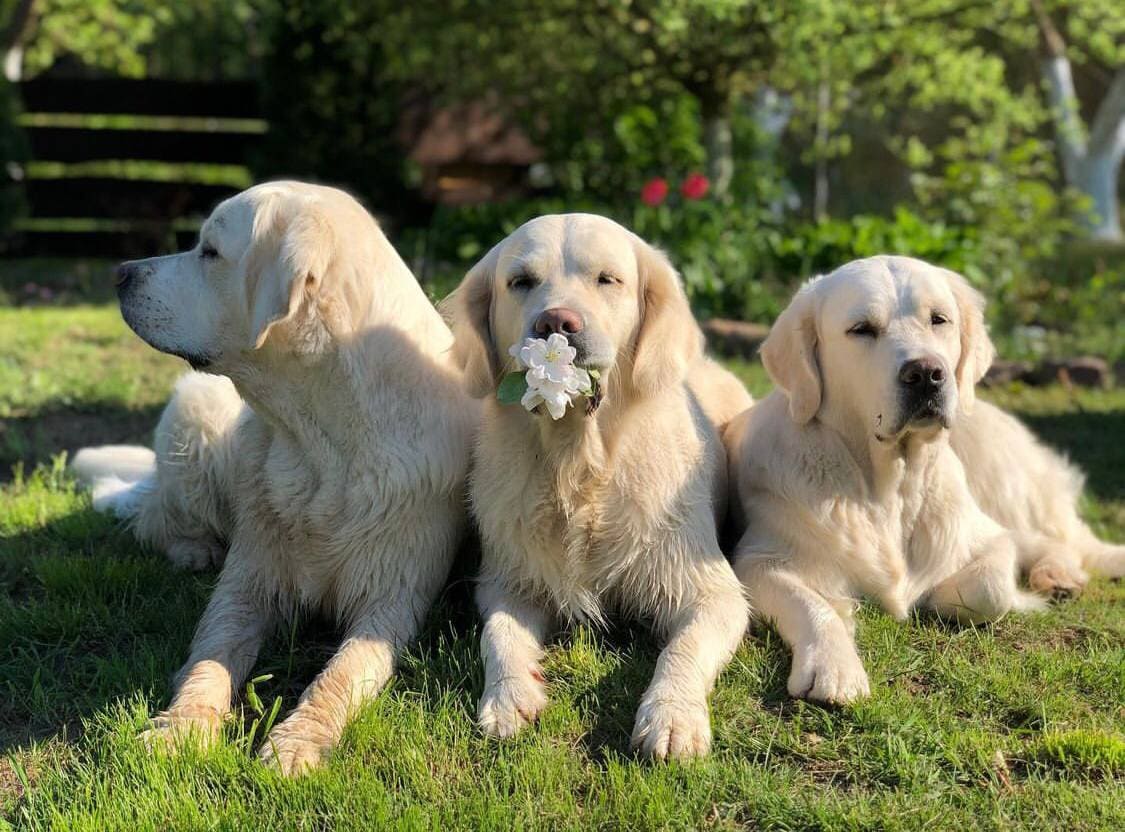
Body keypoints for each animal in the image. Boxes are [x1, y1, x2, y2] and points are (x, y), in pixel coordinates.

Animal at [70, 182, 474, 773]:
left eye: (210, 252)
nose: (120, 273)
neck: (321, 445)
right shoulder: (247, 581)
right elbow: (210, 657)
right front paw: (182, 726)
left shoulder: (392, 599)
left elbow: (342, 673)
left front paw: (298, 742)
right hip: (193, 422)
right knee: (155, 519)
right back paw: (193, 549)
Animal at [447, 212, 756, 760]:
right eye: (520, 282)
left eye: (607, 279)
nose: (556, 324)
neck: (580, 464)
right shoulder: (508, 579)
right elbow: (498, 635)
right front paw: (509, 695)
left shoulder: (711, 590)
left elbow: (683, 647)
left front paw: (672, 717)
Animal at [724, 256, 1120, 706]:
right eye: (861, 329)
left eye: (939, 320)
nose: (926, 373)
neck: (891, 487)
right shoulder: (759, 559)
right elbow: (811, 603)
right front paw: (835, 665)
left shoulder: (984, 535)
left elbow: (991, 587)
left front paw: (937, 594)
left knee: (1054, 539)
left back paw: (1058, 575)